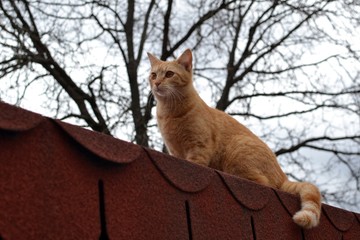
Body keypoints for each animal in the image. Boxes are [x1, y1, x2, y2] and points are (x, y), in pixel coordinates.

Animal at [148, 48, 322, 229]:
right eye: (153, 75)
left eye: (169, 74)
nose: (157, 83)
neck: (169, 112)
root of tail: (282, 175)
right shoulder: (175, 151)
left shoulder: (199, 148)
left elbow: (195, 162)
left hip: (237, 153)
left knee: (263, 182)